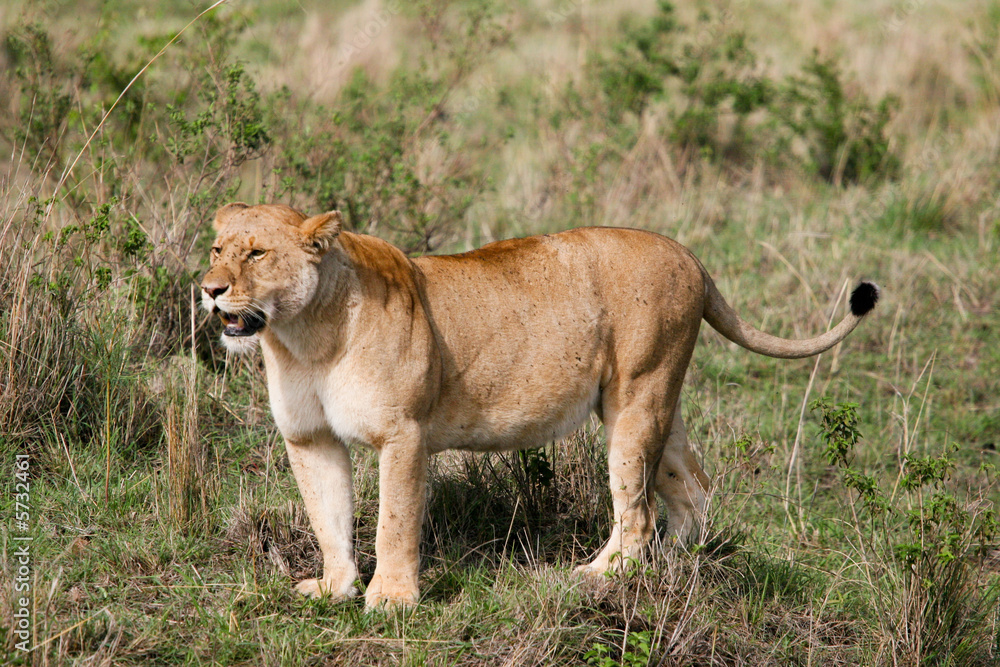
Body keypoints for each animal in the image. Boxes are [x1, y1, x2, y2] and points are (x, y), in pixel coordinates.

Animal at [200, 203, 878, 609]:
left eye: (256, 253)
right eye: (217, 249)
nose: (208, 290)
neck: (304, 335)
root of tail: (687, 254)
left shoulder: (404, 434)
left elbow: (393, 519)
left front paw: (391, 599)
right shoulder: (309, 438)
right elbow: (329, 517)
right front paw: (336, 588)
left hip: (637, 397)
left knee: (637, 511)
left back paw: (599, 577)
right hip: (656, 402)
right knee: (691, 487)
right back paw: (675, 565)